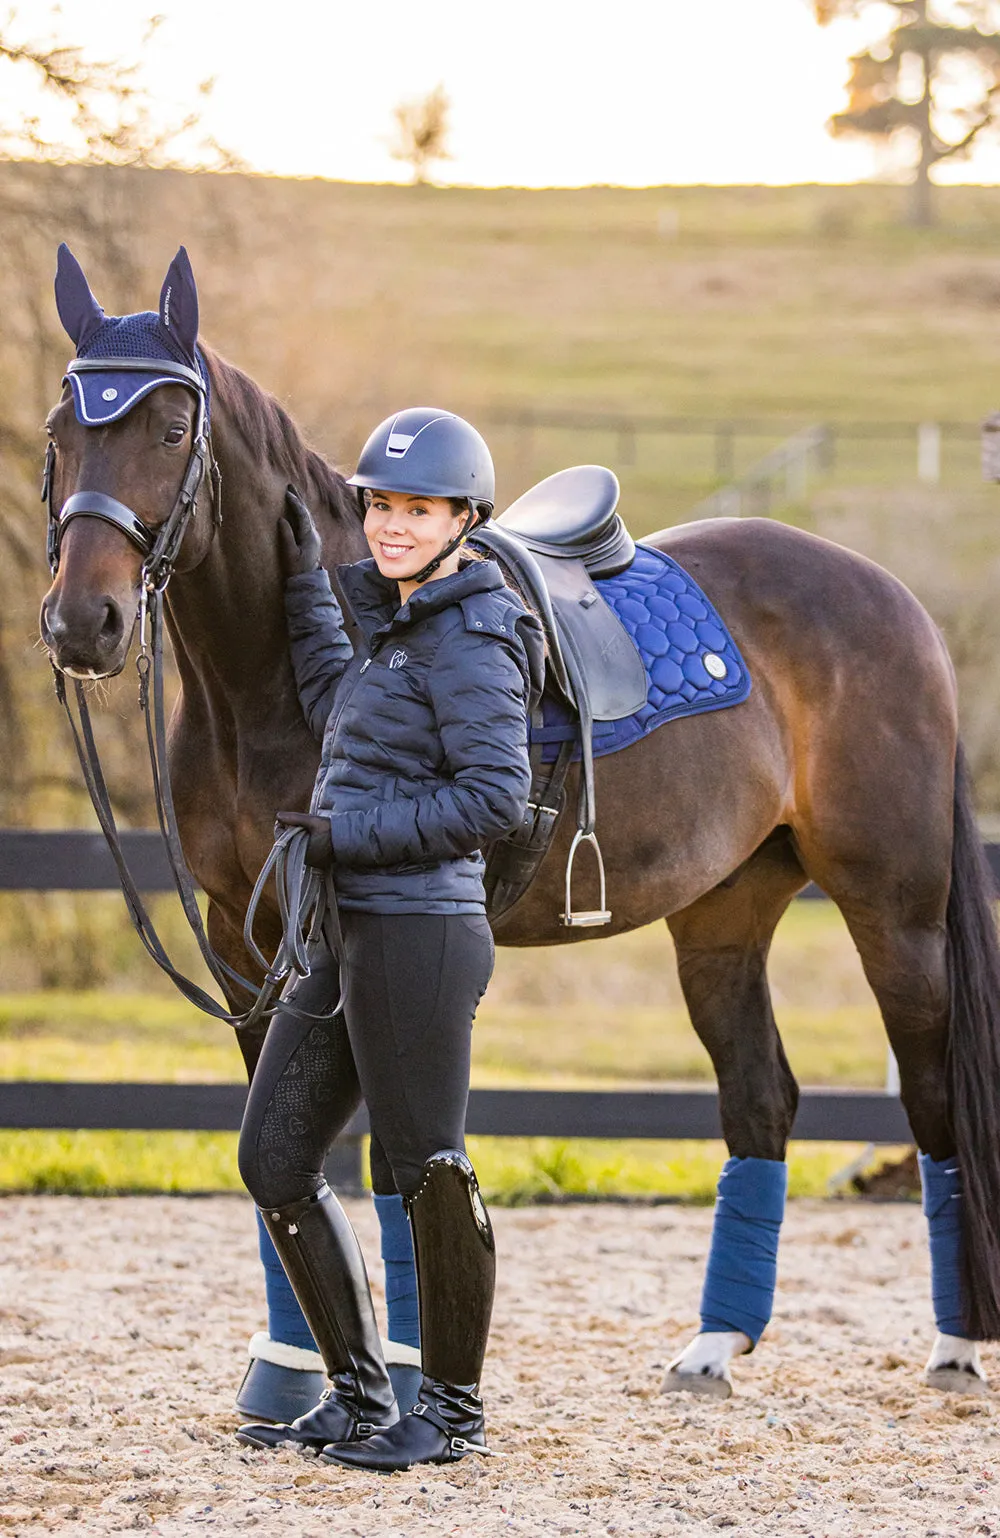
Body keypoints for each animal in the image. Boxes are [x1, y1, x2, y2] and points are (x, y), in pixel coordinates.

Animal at [35, 249, 996, 1408]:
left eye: (173, 429)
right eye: (60, 428)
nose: (83, 624)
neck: (274, 680)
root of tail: (894, 600)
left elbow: (385, 1160)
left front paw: (401, 1371)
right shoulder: (242, 941)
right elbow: (279, 1149)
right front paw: (290, 1374)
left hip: (893, 910)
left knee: (935, 1095)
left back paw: (954, 1345)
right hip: (724, 916)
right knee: (760, 1098)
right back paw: (713, 1346)